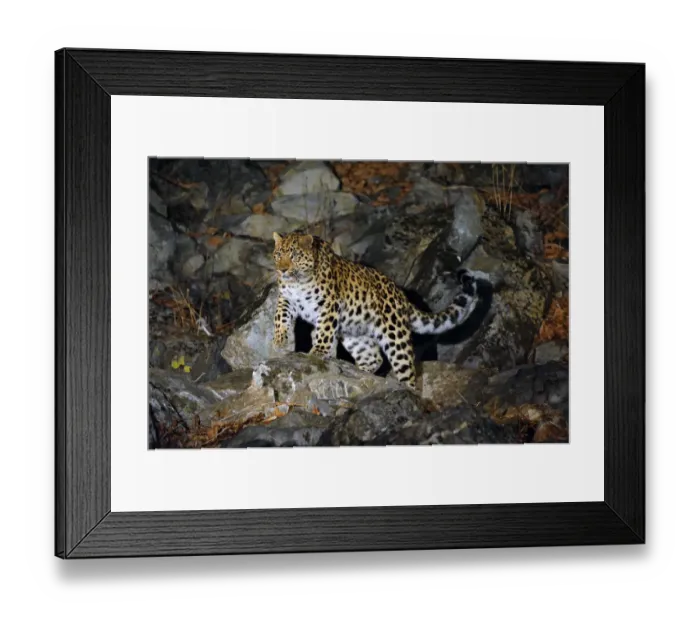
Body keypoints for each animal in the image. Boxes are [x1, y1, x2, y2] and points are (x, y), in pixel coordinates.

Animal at [271, 232, 480, 390]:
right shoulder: (286, 300)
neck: (298, 282)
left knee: (407, 370)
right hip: (355, 335)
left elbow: (324, 331)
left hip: (395, 337)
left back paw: (406, 393)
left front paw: (317, 352)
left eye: (294, 256)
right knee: (374, 358)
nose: (282, 270)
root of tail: (401, 297)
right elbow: (280, 318)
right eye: (278, 255)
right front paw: (280, 340)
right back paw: (360, 373)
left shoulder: (328, 305)